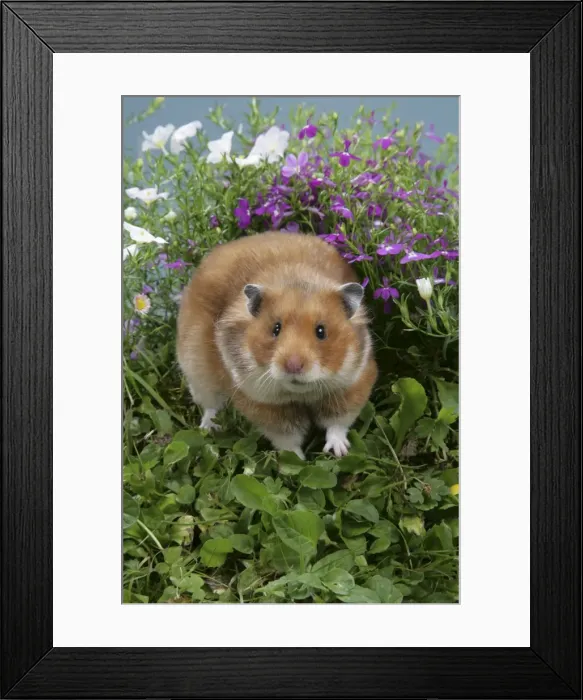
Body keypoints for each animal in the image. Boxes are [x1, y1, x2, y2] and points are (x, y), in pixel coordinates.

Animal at [177, 232, 377, 459]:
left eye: (321, 331)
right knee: (210, 404)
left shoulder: (352, 384)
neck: (301, 393)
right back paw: (208, 428)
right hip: (196, 369)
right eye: (276, 328)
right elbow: (287, 439)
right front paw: (297, 461)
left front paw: (339, 452)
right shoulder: (263, 404)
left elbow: (337, 423)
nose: (293, 365)